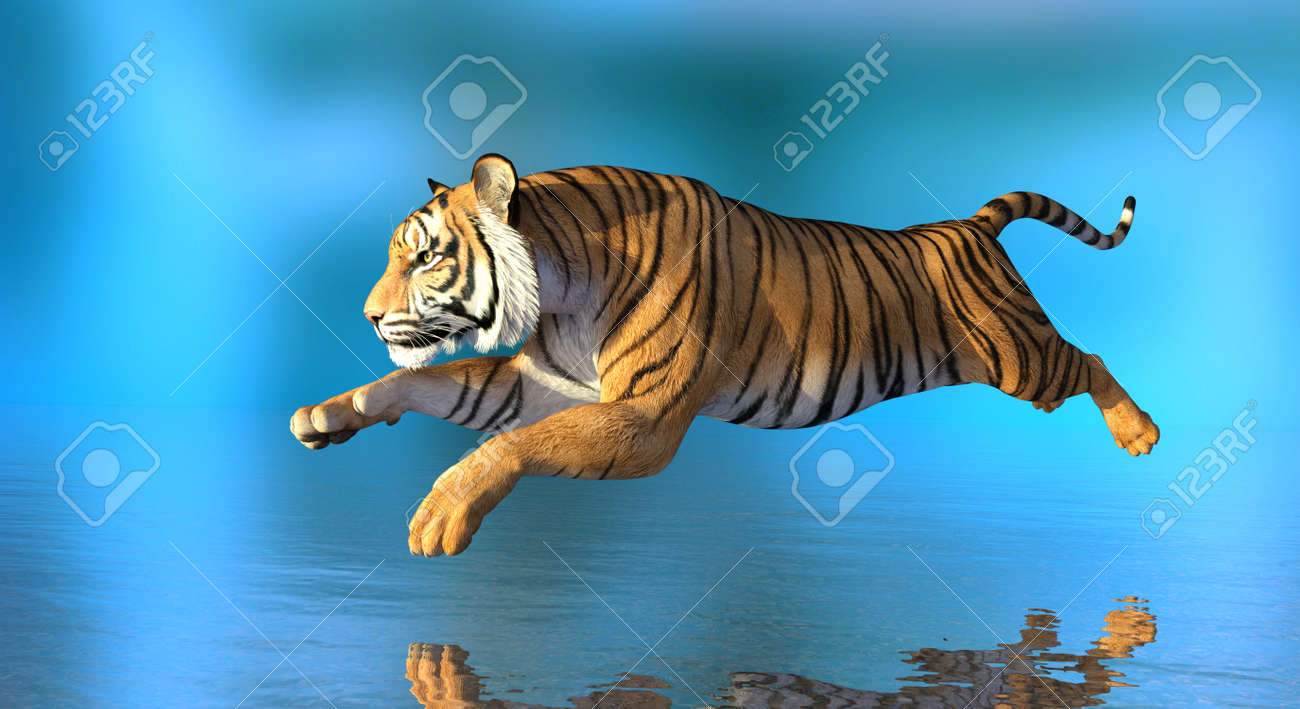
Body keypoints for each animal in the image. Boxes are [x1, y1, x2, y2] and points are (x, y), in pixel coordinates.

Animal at [290, 154, 1159, 557]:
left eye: (426, 257)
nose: (368, 315)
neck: (564, 285)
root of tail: (971, 224)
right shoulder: (547, 383)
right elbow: (435, 387)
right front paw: (328, 415)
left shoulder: (643, 419)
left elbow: (509, 444)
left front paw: (439, 516)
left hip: (1021, 360)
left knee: (1088, 358)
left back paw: (1141, 434)